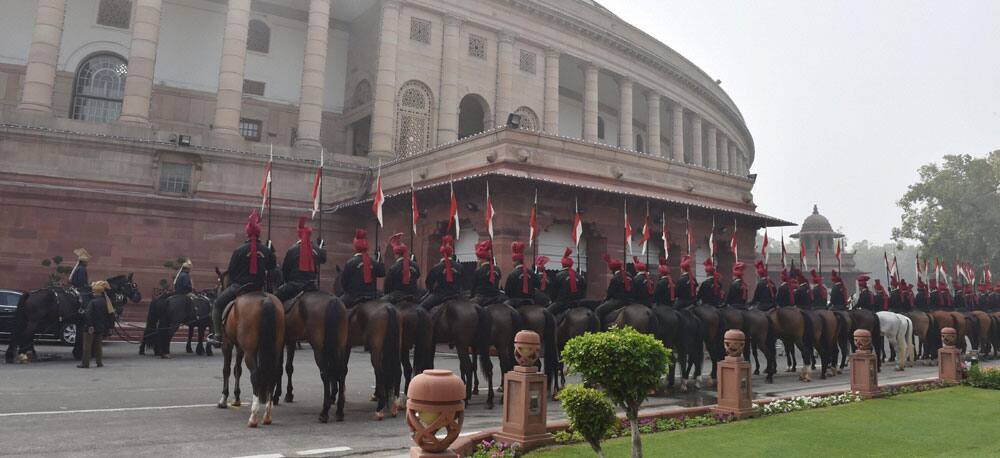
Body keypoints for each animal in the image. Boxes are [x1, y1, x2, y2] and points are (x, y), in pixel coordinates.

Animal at [5, 272, 142, 364]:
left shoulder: (80, 322)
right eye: (133, 285)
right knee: (25, 335)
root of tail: (30, 293)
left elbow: (79, 338)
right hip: (34, 321)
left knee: (25, 335)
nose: (139, 297)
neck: (96, 294)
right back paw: (23, 355)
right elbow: (82, 337)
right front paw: (82, 353)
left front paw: (78, 353)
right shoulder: (86, 321)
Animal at [217, 292, 284, 428]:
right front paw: (236, 397)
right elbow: (237, 369)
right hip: (276, 349)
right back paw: (267, 416)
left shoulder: (227, 343)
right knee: (273, 375)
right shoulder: (239, 347)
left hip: (250, 351)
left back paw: (253, 416)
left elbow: (226, 370)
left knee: (255, 375)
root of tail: (266, 300)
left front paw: (224, 399)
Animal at [274, 292, 348, 424]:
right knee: (341, 373)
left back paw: (324, 412)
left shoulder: (281, 342)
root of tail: (333, 302)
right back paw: (339, 410)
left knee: (326, 374)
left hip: (319, 349)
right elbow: (289, 367)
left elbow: (279, 368)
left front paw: (277, 395)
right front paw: (289, 394)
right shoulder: (291, 341)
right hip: (340, 346)